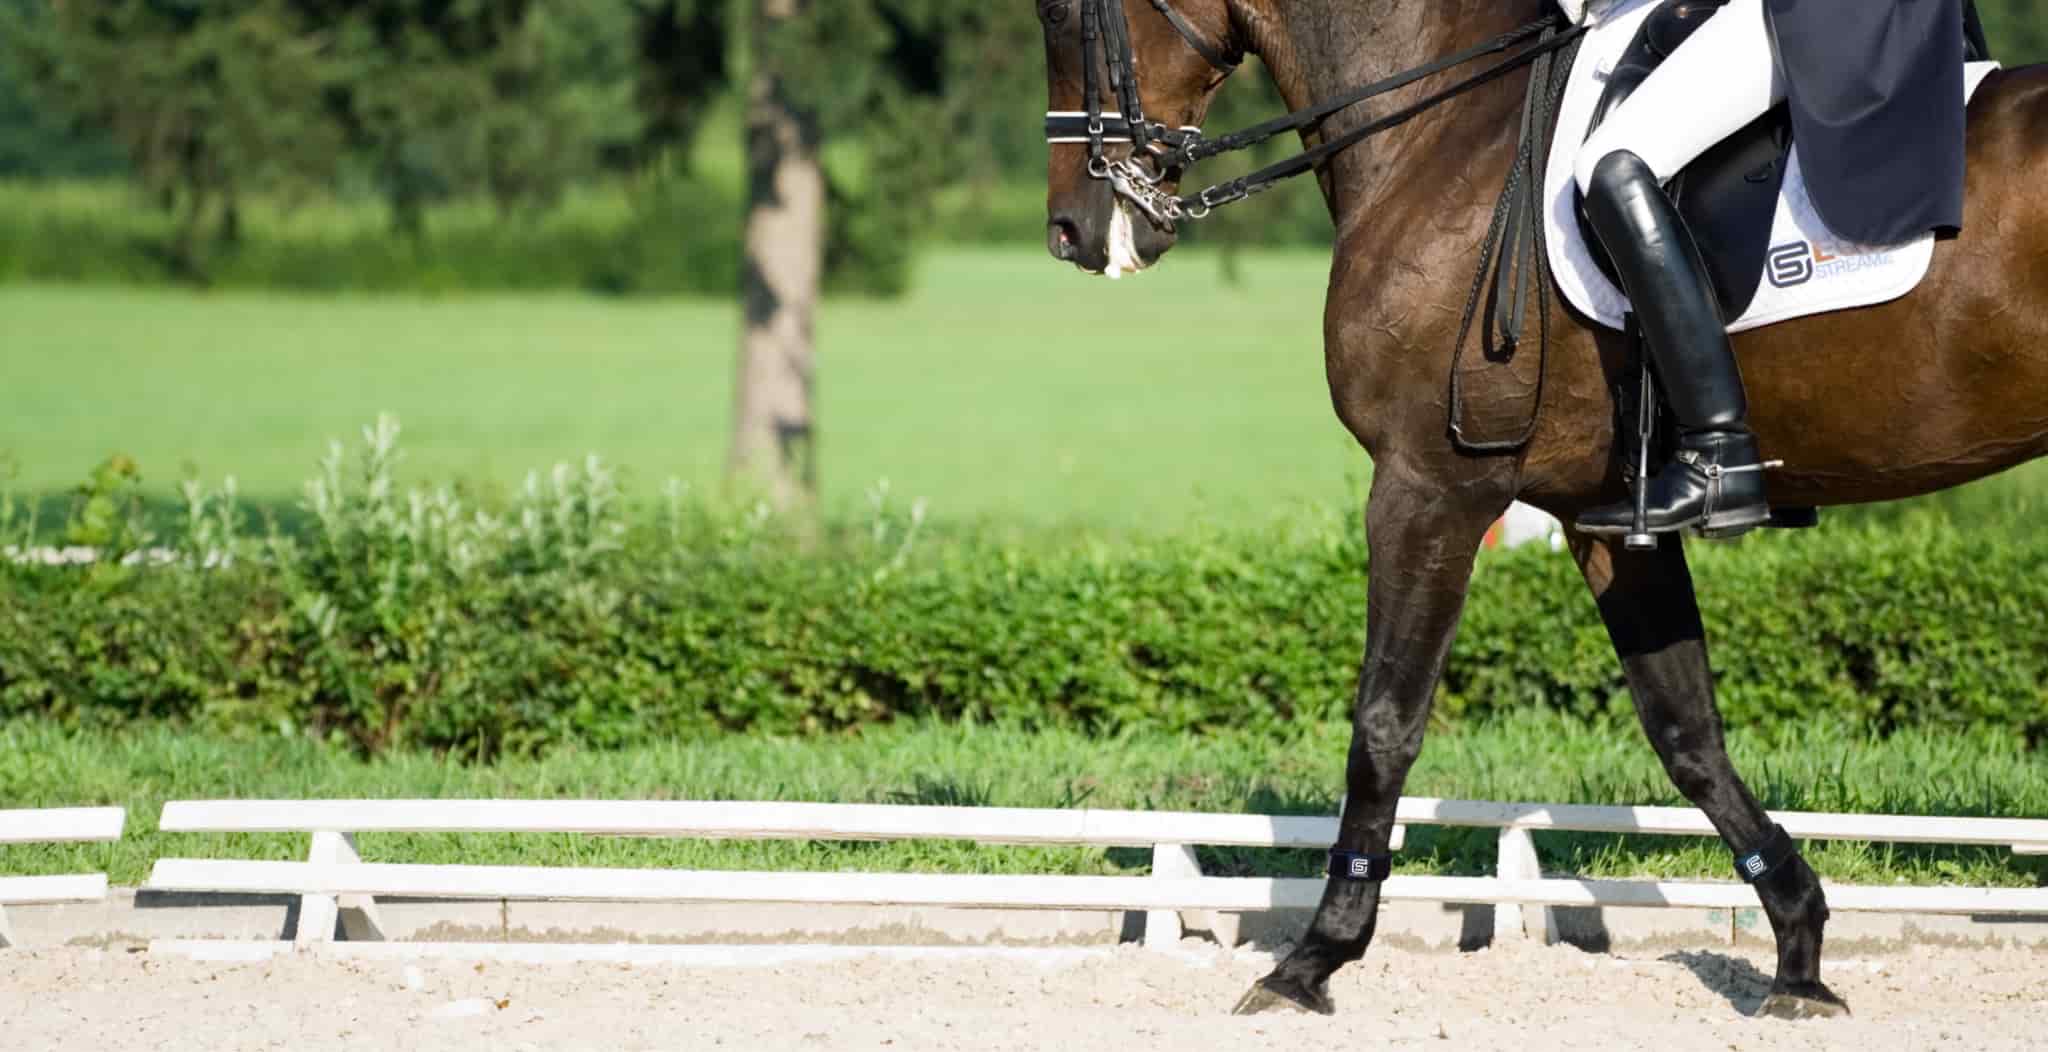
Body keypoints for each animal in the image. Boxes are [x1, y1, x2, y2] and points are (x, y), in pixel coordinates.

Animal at [1036, 0, 2048, 1019]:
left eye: (1060, 14)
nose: (1072, 232)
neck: (1445, 131)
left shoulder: (1428, 486)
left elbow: (1385, 721)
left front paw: (1314, 958)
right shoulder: (1609, 518)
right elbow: (1685, 727)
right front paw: (1799, 953)